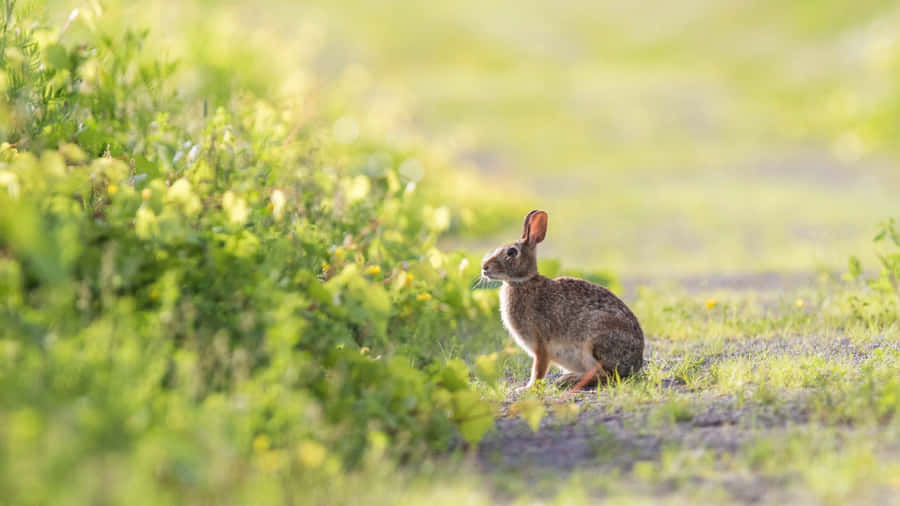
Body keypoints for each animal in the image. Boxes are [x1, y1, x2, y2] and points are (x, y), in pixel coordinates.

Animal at [481, 210, 644, 392]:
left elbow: (538, 370)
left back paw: (567, 381)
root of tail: (634, 363)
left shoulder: (541, 344)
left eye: (511, 252)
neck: (522, 282)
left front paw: (526, 389)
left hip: (593, 341)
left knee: (606, 376)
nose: (484, 267)